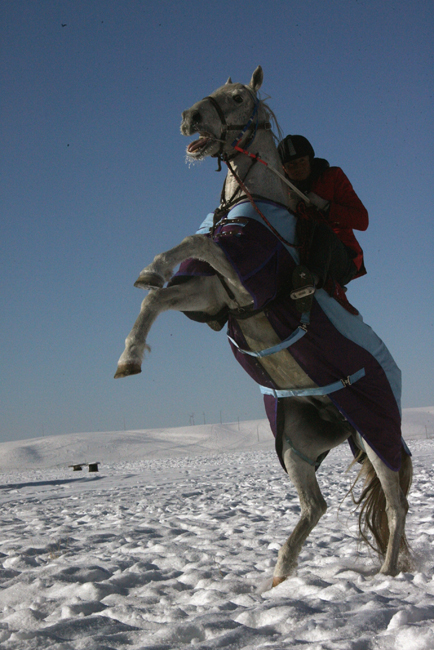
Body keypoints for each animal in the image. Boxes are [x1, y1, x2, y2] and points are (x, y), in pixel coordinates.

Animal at [116, 67, 414, 588]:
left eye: (238, 97)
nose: (189, 116)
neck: (253, 204)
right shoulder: (213, 296)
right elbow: (160, 292)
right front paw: (129, 353)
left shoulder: (242, 285)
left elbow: (197, 244)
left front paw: (151, 273)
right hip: (296, 445)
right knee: (315, 505)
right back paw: (279, 576)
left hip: (377, 436)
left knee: (395, 506)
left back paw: (385, 571)